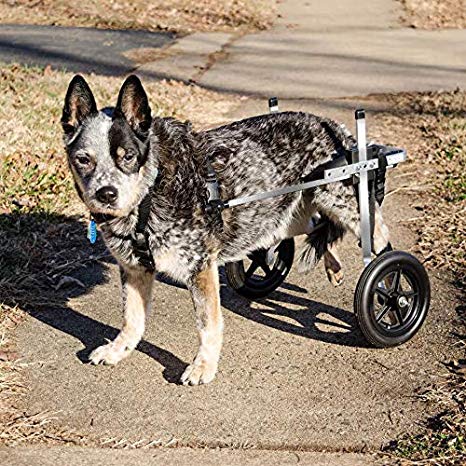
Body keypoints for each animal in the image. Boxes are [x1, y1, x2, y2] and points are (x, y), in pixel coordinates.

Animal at [62, 73, 390, 386]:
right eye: (83, 160)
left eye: (128, 155)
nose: (106, 194)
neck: (150, 190)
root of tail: (331, 124)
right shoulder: (134, 269)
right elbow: (132, 318)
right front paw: (119, 349)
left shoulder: (200, 269)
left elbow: (208, 325)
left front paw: (203, 366)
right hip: (284, 212)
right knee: (315, 226)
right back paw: (332, 265)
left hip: (341, 201)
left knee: (378, 240)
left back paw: (386, 284)